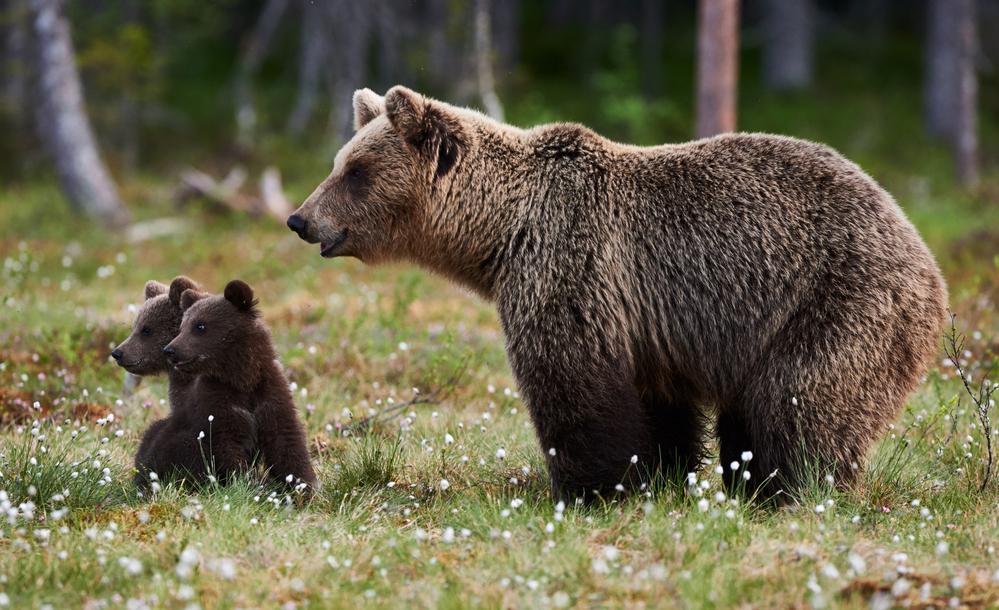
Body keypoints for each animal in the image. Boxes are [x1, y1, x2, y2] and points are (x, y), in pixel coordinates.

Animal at [163, 279, 317, 489]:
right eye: (182, 327)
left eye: (200, 326)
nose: (170, 349)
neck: (242, 379)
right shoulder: (216, 403)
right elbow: (228, 448)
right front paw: (256, 484)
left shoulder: (270, 397)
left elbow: (287, 442)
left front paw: (304, 485)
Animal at [286, 86, 947, 504]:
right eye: (339, 162)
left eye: (355, 172)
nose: (300, 219)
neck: (500, 234)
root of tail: (927, 258)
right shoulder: (651, 327)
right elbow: (658, 406)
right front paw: (663, 476)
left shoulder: (568, 262)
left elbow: (572, 381)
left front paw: (589, 489)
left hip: (839, 302)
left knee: (800, 404)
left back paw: (793, 490)